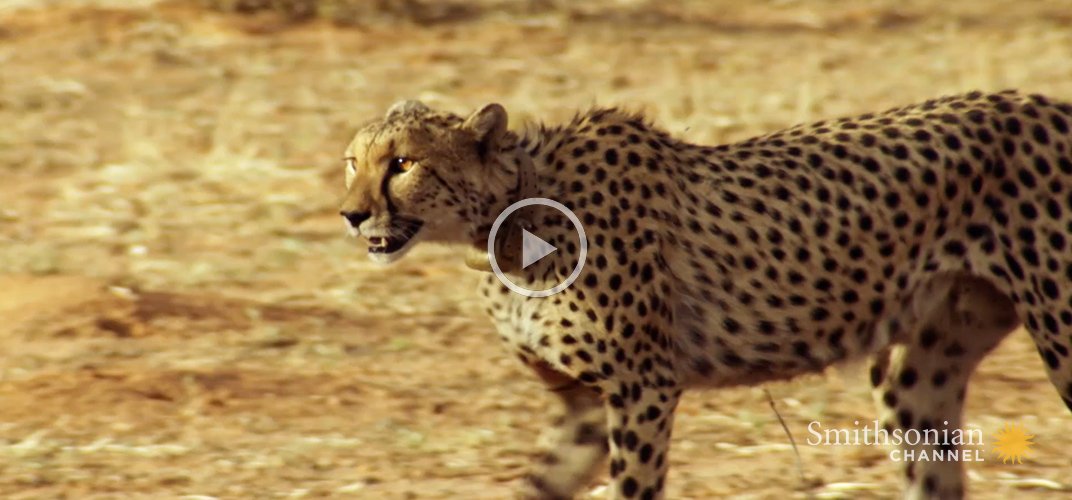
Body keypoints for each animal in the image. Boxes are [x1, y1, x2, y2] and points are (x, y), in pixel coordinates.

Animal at [338, 90, 1072, 499]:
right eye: (353, 161)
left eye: (402, 163)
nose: (349, 214)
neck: (512, 215)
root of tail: (1045, 102)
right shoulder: (583, 406)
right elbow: (536, 486)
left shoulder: (642, 386)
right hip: (916, 382)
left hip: (1059, 332)